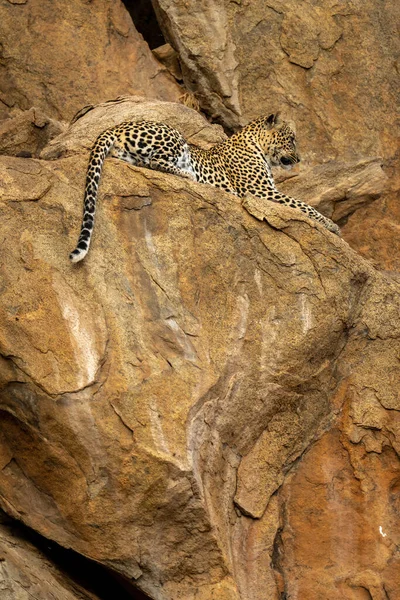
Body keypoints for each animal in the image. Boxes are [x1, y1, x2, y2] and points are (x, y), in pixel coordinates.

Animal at [70, 113, 340, 262]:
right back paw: (188, 173)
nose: (299, 158)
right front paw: (332, 225)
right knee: (154, 162)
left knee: (142, 162)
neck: (255, 145)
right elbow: (303, 204)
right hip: (173, 135)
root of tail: (114, 127)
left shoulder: (265, 190)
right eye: (291, 139)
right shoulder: (260, 191)